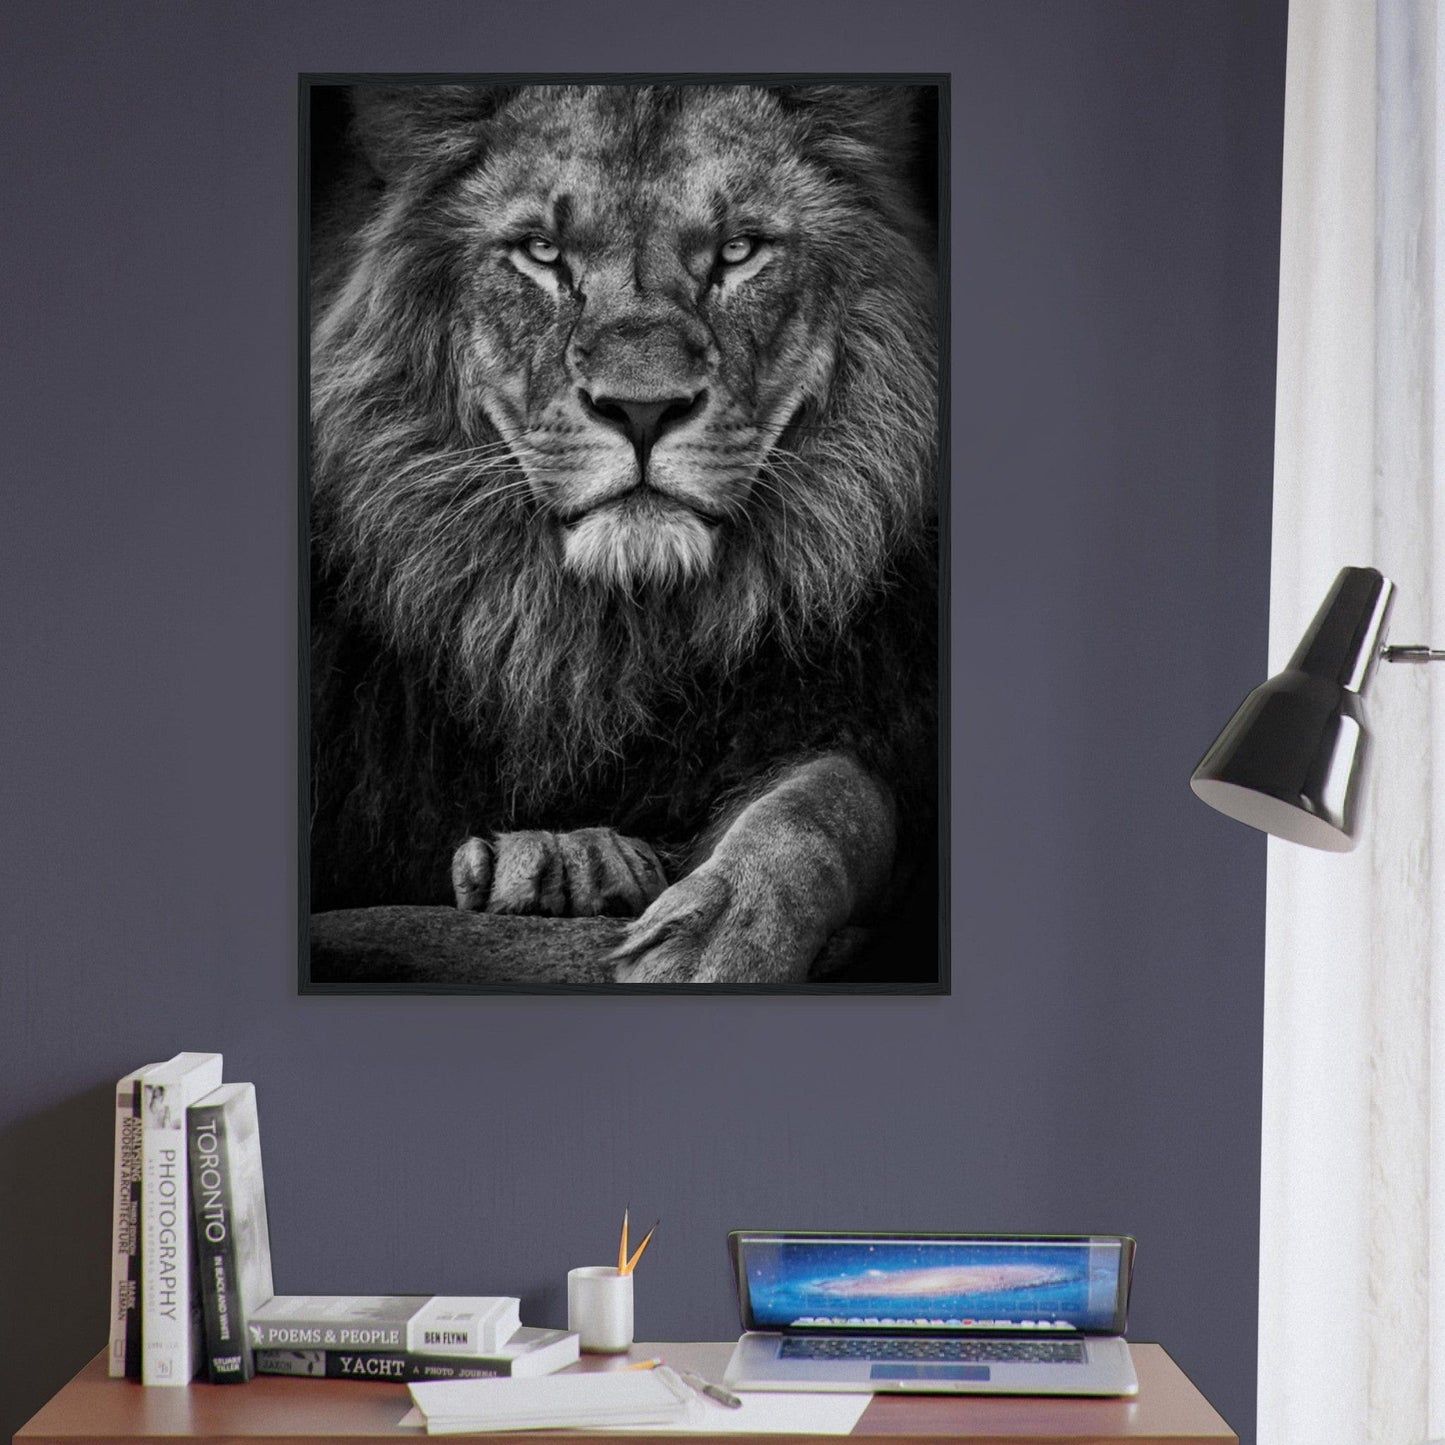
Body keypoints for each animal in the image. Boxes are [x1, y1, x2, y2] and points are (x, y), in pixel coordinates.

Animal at [307, 81, 940, 985]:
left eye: (738, 251)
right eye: (540, 252)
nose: (643, 409)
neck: (598, 638)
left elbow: (828, 803)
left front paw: (719, 936)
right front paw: (557, 864)